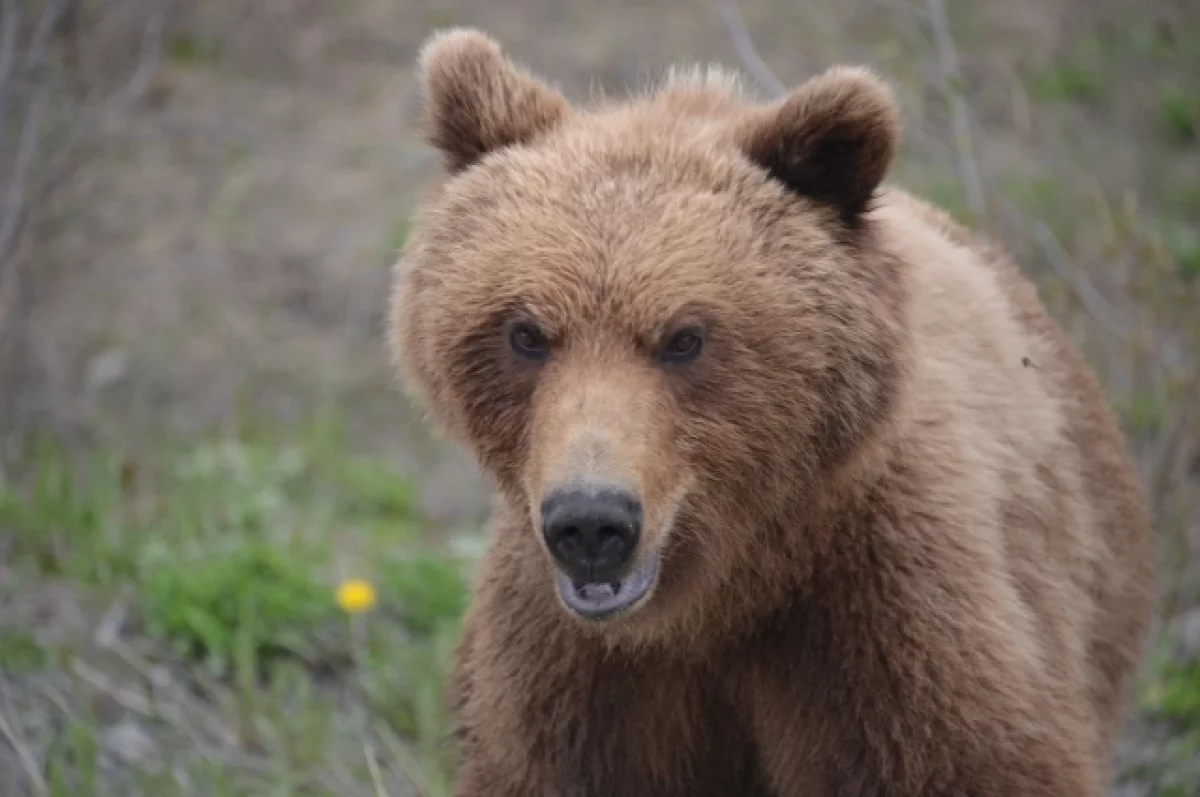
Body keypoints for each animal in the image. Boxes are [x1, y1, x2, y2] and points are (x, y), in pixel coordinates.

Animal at [388, 28, 1156, 797]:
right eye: (526, 332)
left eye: (684, 337)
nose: (591, 521)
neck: (719, 599)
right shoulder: (575, 681)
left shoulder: (892, 621)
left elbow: (970, 760)